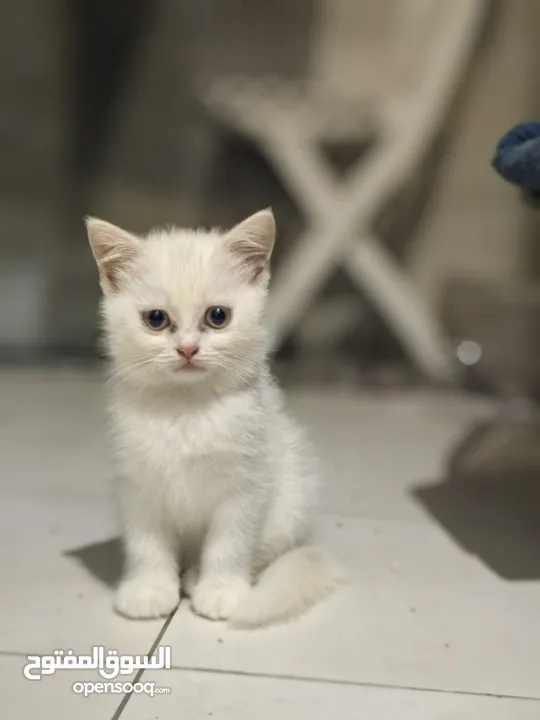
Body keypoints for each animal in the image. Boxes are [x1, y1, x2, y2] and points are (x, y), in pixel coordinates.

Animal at [87, 210, 342, 632]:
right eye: (155, 319)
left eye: (218, 316)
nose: (188, 349)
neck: (186, 409)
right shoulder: (137, 485)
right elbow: (146, 543)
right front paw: (148, 589)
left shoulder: (246, 484)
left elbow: (231, 542)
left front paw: (221, 590)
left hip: (291, 501)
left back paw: (196, 577)